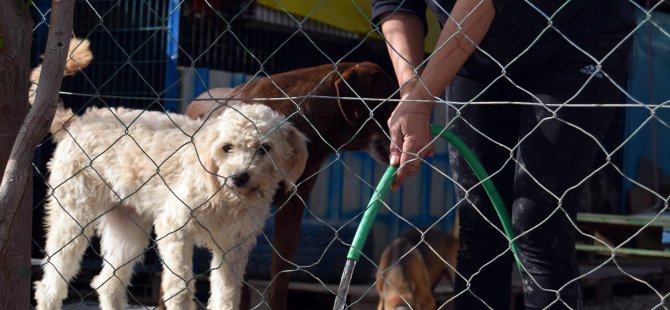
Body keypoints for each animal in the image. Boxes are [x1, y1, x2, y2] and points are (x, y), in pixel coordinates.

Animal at [34, 102, 310, 310]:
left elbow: (227, 295)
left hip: (128, 233)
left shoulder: (233, 246)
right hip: (72, 220)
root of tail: (79, 122)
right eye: (227, 147)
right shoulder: (175, 229)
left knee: (108, 284)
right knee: (50, 285)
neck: (225, 197)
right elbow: (181, 289)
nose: (238, 177)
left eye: (265, 148)